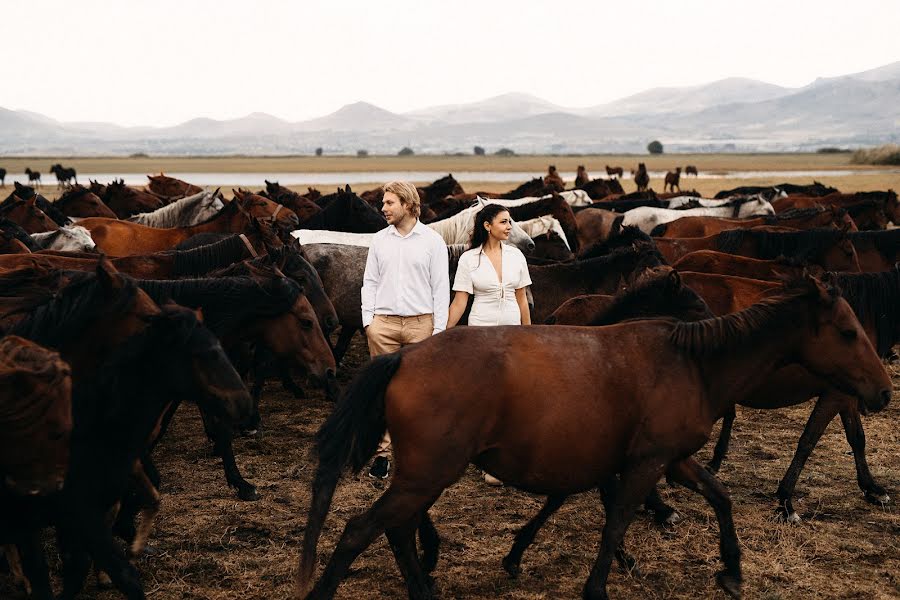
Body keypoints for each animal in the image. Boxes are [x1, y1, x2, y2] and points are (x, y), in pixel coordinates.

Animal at [298, 274, 888, 600]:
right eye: (847, 332)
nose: (882, 391)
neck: (693, 364)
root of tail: (404, 358)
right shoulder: (645, 465)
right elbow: (617, 519)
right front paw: (599, 583)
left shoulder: (670, 459)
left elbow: (718, 496)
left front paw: (732, 571)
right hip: (426, 475)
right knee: (361, 530)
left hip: (423, 477)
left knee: (396, 530)